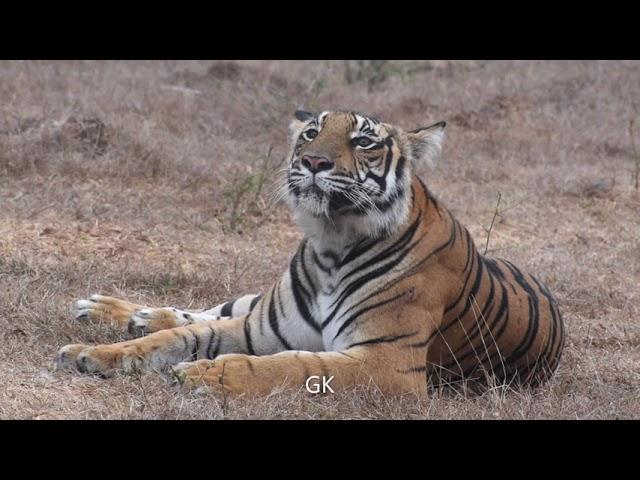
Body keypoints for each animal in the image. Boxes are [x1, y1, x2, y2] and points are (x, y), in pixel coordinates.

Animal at [55, 110, 564, 396]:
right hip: (254, 305)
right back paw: (111, 310)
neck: (331, 243)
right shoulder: (261, 326)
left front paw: (207, 376)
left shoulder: (387, 364)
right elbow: (177, 338)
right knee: (204, 311)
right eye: (310, 133)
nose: (313, 161)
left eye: (363, 141)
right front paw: (90, 353)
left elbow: (295, 365)